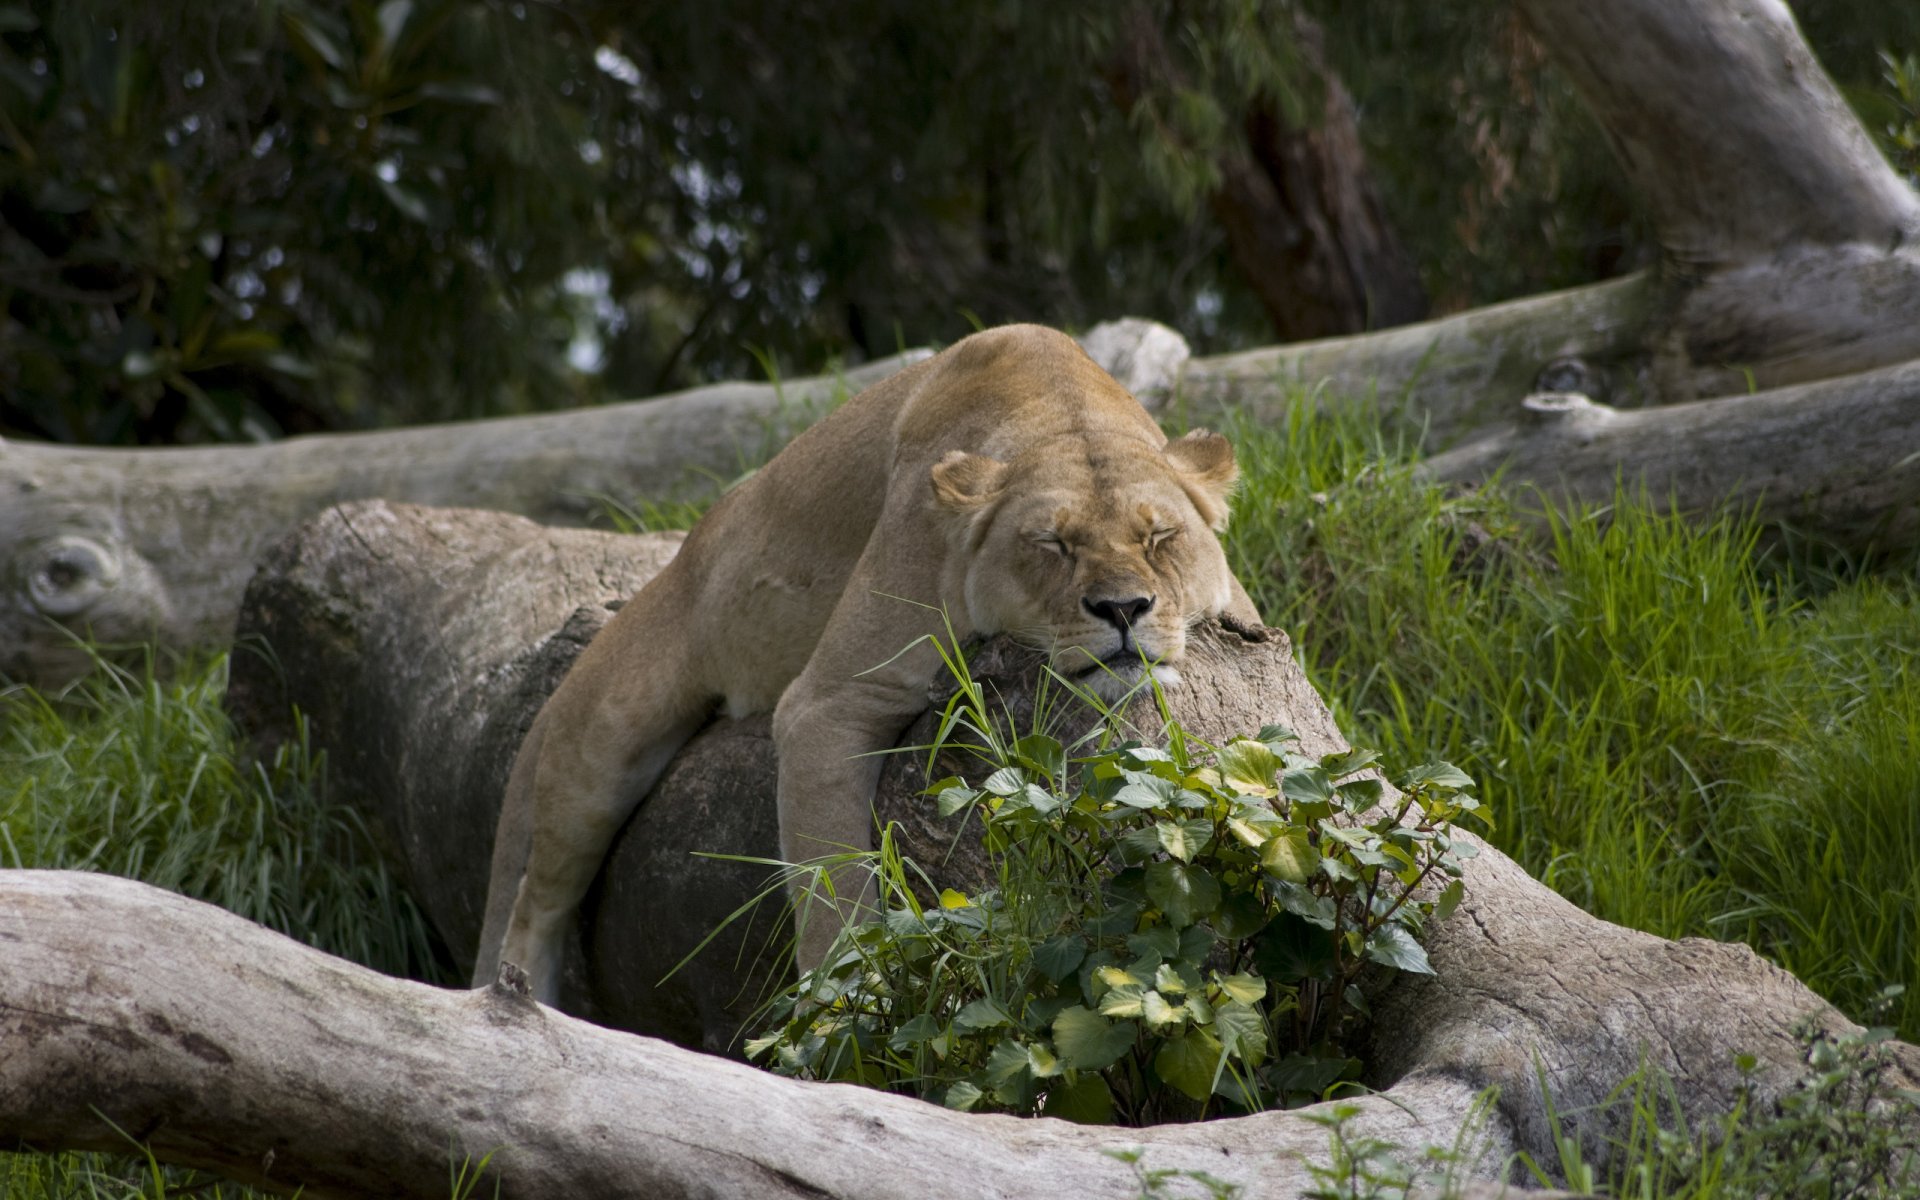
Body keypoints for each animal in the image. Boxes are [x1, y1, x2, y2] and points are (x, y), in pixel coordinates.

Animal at [473, 323, 1261, 1002]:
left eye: (1160, 536)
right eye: (1052, 544)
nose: (1124, 609)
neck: (1063, 407)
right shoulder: (829, 703)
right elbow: (832, 877)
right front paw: (846, 1007)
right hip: (603, 740)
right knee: (534, 899)